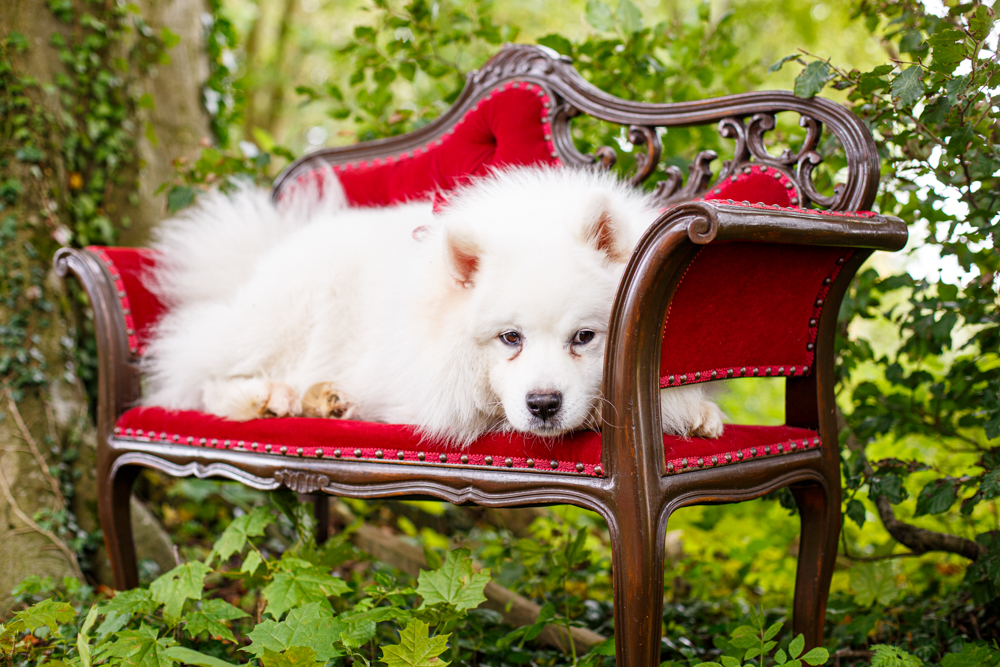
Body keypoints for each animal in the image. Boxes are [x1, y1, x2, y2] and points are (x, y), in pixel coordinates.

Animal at [145, 167, 724, 446]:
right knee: (198, 372)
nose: (543, 404)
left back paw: (325, 399)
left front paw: (694, 410)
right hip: (282, 317)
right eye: (510, 338)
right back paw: (265, 398)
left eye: (584, 337)